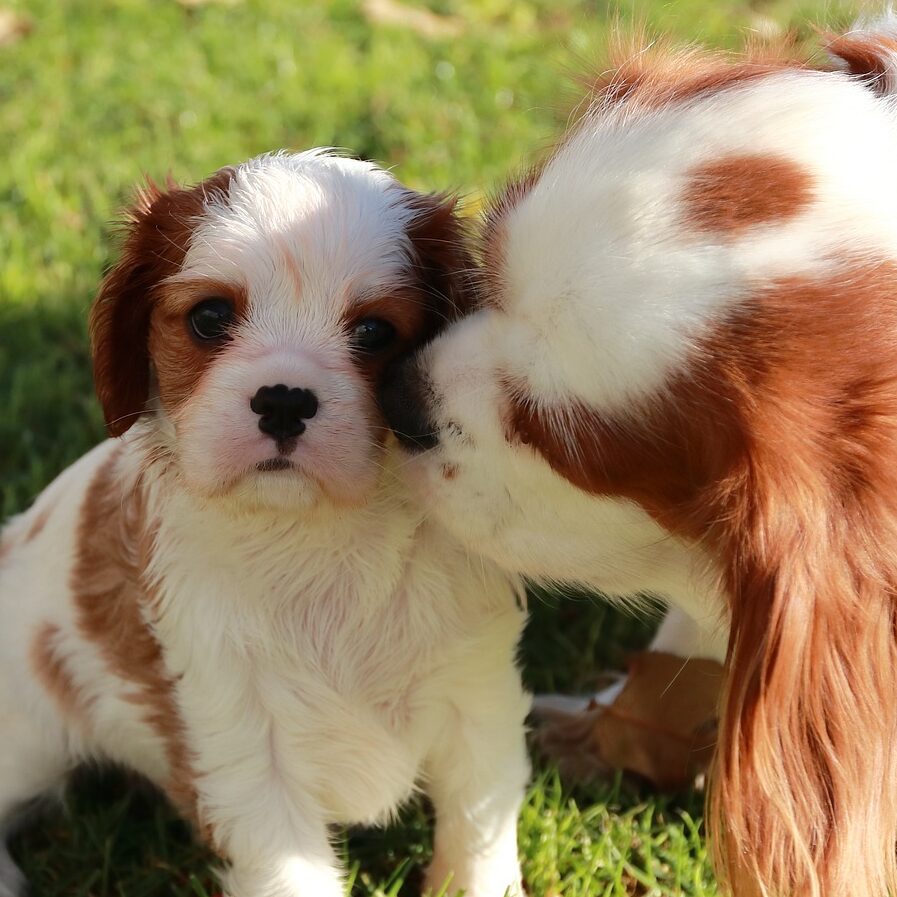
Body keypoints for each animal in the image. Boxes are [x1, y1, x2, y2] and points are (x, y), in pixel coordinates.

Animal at [0, 152, 528, 896]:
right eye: (210, 317)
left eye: (374, 332)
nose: (283, 399)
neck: (317, 537)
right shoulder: (245, 753)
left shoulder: (476, 698)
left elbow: (477, 831)